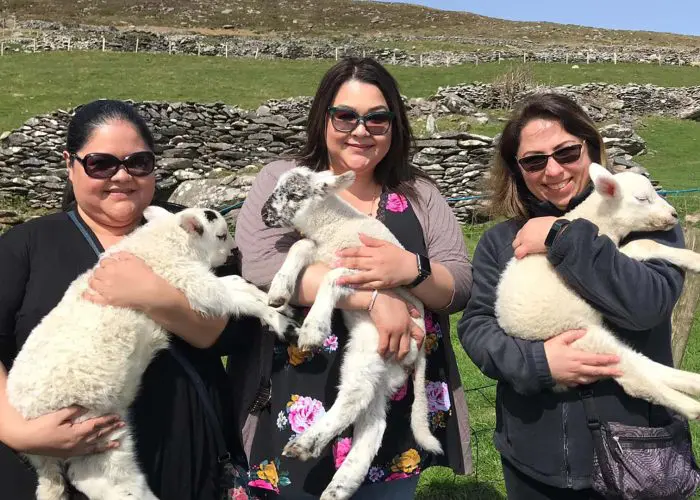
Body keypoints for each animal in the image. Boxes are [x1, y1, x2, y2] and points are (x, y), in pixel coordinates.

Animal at [8, 205, 298, 498]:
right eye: (221, 235)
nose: (235, 251)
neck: (169, 241)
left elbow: (237, 282)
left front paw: (278, 304)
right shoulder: (185, 279)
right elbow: (233, 294)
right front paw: (279, 321)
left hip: (93, 440)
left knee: (93, 480)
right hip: (87, 426)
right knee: (120, 484)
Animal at [260, 167, 440, 500]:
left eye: (294, 194)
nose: (264, 214)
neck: (334, 227)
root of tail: (418, 352)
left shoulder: (365, 270)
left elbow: (331, 277)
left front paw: (314, 328)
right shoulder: (317, 250)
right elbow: (299, 247)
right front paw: (279, 291)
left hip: (371, 349)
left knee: (353, 399)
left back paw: (306, 444)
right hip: (379, 365)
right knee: (373, 423)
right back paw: (339, 487)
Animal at [494, 163, 700, 418]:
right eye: (642, 199)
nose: (673, 215)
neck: (600, 222)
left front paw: (692, 259)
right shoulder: (612, 250)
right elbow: (644, 244)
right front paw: (696, 260)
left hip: (593, 337)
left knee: (641, 362)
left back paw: (694, 383)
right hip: (582, 340)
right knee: (634, 379)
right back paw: (692, 406)